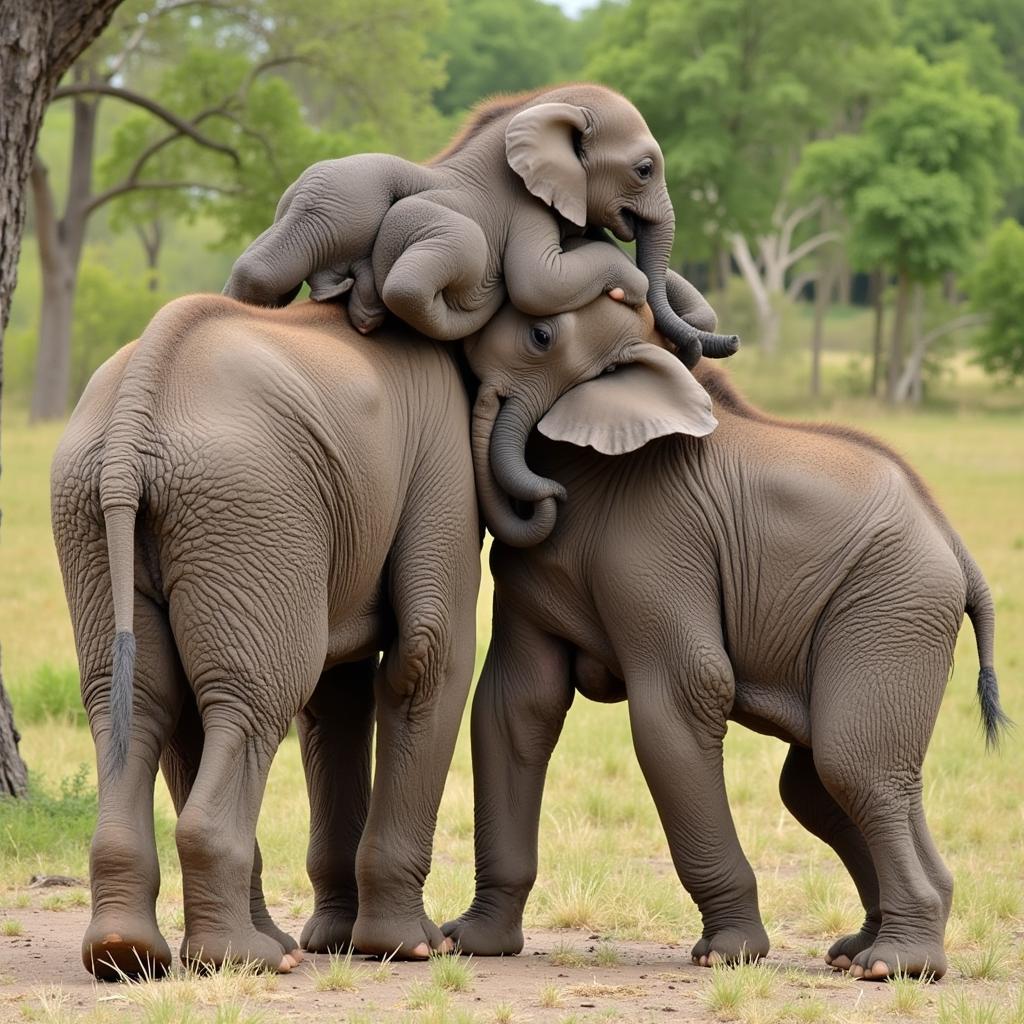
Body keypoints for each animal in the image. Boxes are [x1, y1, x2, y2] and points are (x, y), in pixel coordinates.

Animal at [54, 294, 485, 974]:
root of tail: (132, 421)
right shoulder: (442, 450)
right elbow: (429, 659)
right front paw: (413, 948)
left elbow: (340, 695)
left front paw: (339, 943)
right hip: (248, 505)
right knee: (252, 702)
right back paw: (248, 958)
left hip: (105, 511)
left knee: (147, 700)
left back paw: (128, 956)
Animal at [224, 82, 737, 368]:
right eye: (644, 170)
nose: (733, 340)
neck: (534, 112)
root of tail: (298, 186)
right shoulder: (526, 207)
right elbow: (538, 284)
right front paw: (628, 285)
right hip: (343, 207)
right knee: (269, 272)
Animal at [442, 292, 1007, 978]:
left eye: (540, 336)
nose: (484, 397)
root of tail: (958, 549)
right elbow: (516, 706)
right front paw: (470, 943)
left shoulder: (662, 538)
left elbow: (680, 701)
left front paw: (728, 956)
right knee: (821, 785)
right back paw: (859, 952)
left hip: (893, 605)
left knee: (851, 768)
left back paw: (895, 966)